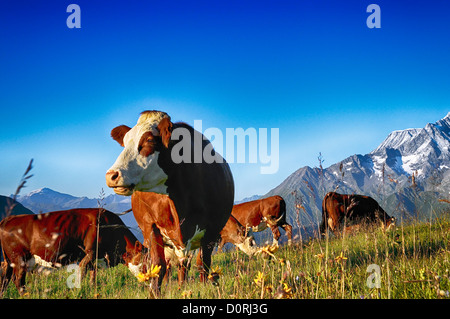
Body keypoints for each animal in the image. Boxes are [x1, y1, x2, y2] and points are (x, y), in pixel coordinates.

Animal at [0, 209, 142, 296]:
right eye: (144, 260)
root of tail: (9, 218)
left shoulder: (96, 257)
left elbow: (93, 275)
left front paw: (92, 289)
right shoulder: (90, 252)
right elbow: (82, 271)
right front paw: (79, 289)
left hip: (9, 260)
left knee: (5, 277)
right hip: (19, 258)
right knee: (18, 280)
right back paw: (26, 295)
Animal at [104, 110, 234, 296]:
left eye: (149, 140)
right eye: (125, 142)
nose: (111, 175)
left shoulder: (211, 230)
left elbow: (203, 264)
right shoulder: (150, 227)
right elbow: (158, 266)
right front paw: (155, 294)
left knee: (185, 265)